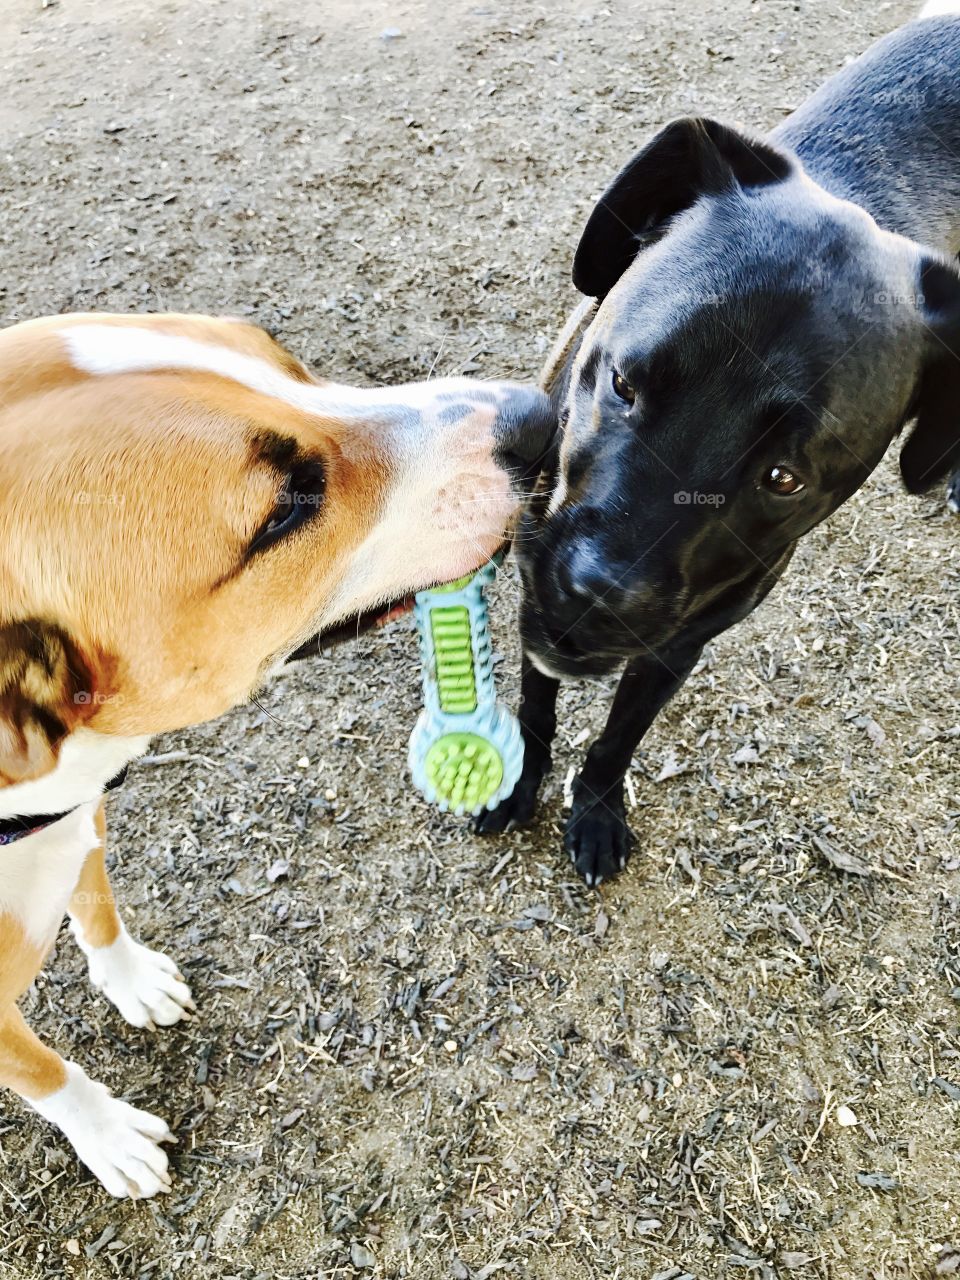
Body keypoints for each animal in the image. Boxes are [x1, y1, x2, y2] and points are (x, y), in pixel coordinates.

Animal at [0, 312, 555, 1198]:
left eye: (278, 357)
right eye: (283, 510)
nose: (541, 418)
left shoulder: (77, 822)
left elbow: (97, 905)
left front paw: (131, 981)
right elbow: (45, 1073)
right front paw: (109, 1136)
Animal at [478, 7, 960, 890]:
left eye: (783, 477)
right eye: (621, 381)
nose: (593, 594)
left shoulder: (677, 645)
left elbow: (618, 739)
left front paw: (595, 811)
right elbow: (536, 705)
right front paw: (520, 780)